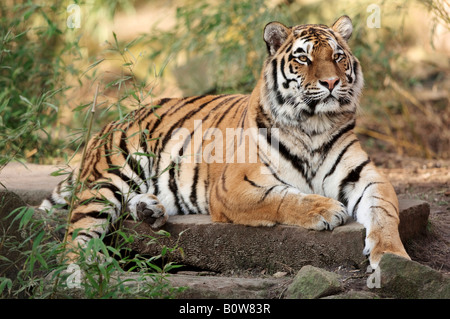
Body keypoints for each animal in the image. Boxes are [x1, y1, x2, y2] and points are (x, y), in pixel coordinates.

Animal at [39, 16, 412, 268]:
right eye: (303, 58)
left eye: (337, 56)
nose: (332, 82)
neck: (313, 125)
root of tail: (112, 121)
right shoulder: (235, 185)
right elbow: (284, 198)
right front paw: (325, 209)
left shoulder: (367, 177)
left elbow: (383, 212)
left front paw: (393, 260)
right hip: (107, 181)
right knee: (74, 240)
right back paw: (82, 276)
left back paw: (148, 210)